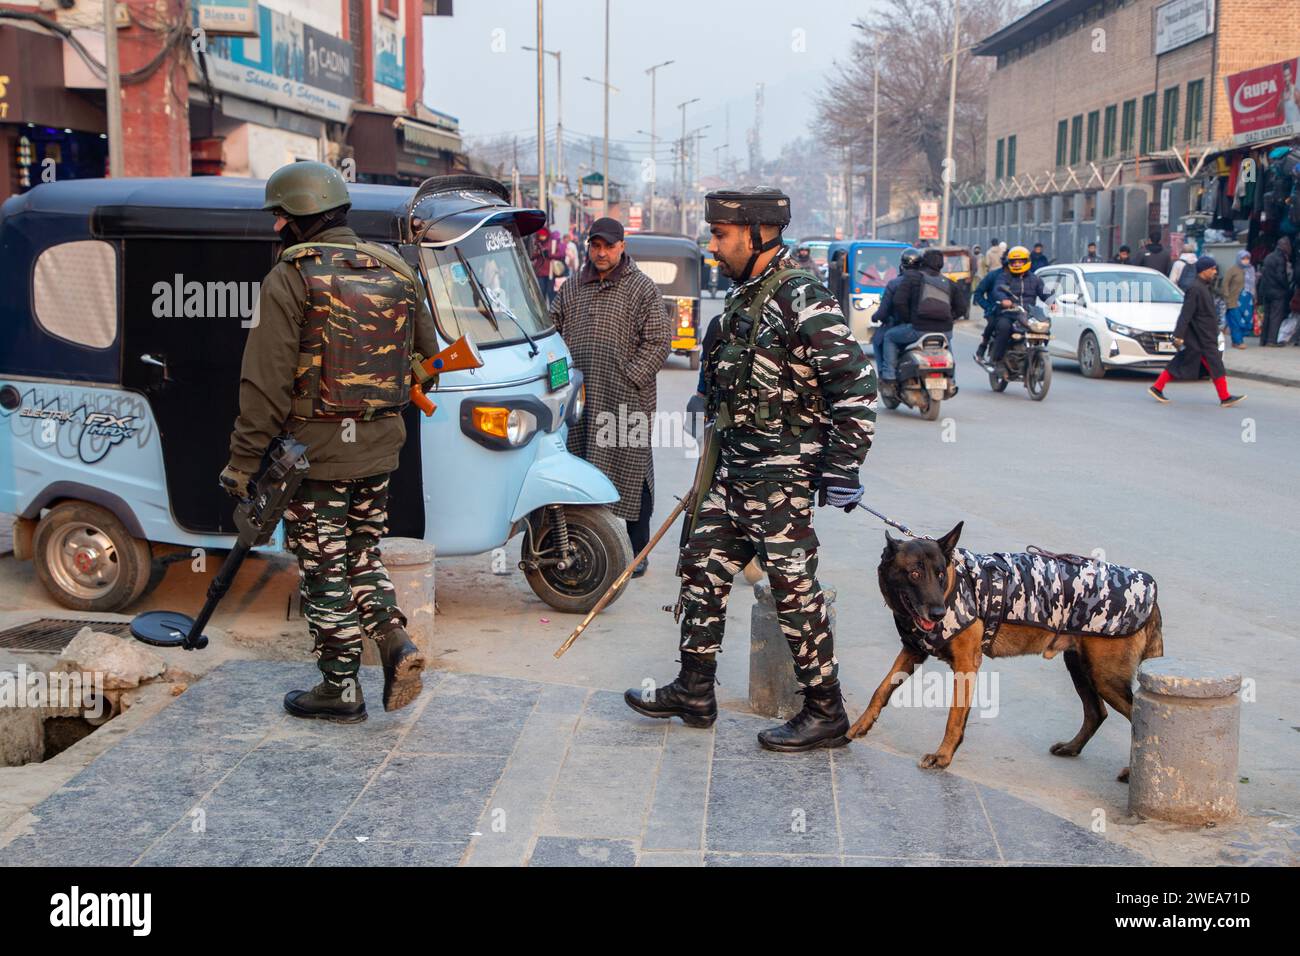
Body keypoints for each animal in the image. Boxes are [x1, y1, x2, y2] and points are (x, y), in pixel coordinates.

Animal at [847, 522, 1164, 785]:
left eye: (939, 575)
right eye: (914, 573)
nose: (937, 613)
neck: (955, 585)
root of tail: (1153, 594)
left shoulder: (966, 664)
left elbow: (954, 716)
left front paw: (943, 757)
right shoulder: (912, 652)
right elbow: (881, 689)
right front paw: (860, 726)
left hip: (1104, 676)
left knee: (1136, 721)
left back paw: (1131, 772)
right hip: (1081, 667)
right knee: (1096, 712)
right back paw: (1072, 748)